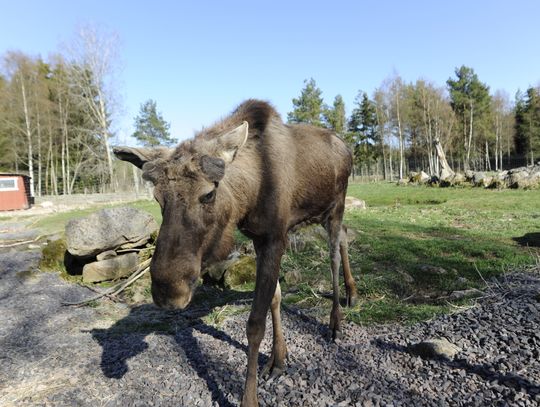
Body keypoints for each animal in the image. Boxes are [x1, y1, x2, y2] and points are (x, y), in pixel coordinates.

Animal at [114, 99, 358, 407]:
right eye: (158, 198)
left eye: (208, 193)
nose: (169, 291)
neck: (250, 196)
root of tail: (347, 148)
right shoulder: (260, 238)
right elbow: (276, 298)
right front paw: (278, 359)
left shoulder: (275, 238)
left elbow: (255, 324)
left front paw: (249, 397)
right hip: (321, 213)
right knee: (345, 237)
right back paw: (352, 292)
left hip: (336, 205)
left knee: (334, 255)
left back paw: (336, 321)